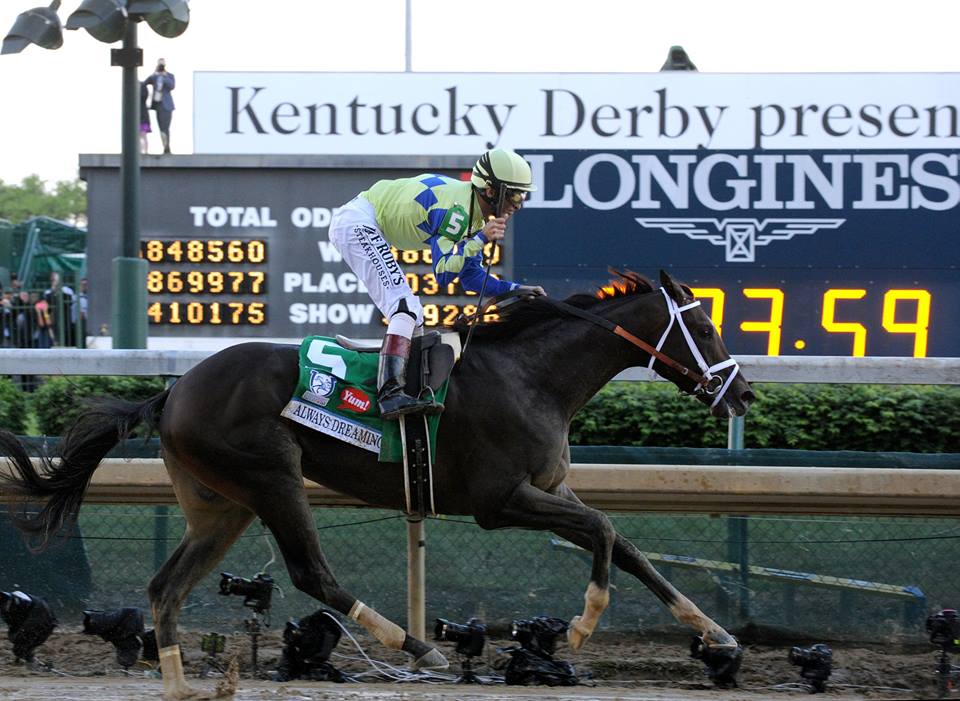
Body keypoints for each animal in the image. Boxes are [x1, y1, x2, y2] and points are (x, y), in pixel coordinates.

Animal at [0, 268, 752, 696]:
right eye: (705, 325)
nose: (742, 392)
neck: (531, 375)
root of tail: (174, 389)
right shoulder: (499, 500)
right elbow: (603, 529)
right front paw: (582, 624)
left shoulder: (549, 488)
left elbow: (626, 544)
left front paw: (714, 632)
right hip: (272, 476)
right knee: (312, 572)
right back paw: (415, 644)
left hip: (221, 504)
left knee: (167, 586)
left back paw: (182, 684)